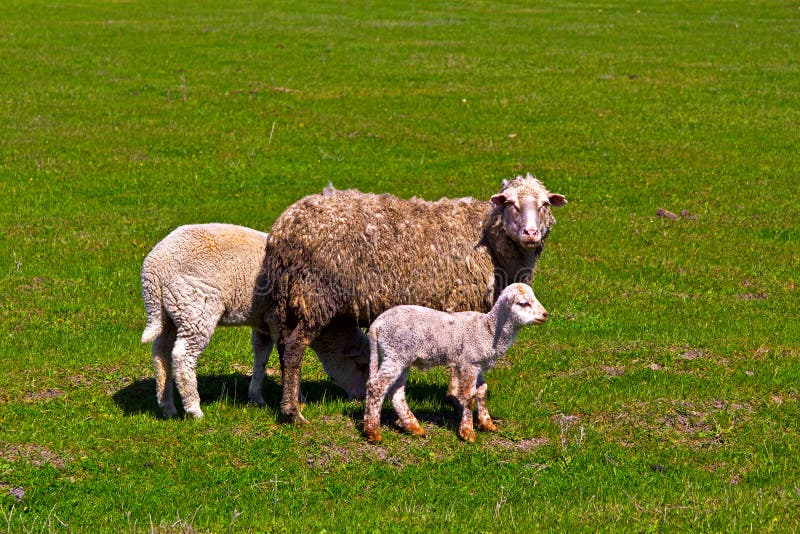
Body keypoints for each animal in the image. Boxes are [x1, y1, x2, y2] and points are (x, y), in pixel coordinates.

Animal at [260, 174, 564, 426]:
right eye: (510, 203)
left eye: (545, 204)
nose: (531, 234)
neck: (487, 239)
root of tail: (284, 227)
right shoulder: (462, 303)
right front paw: (457, 400)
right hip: (315, 294)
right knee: (294, 348)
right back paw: (293, 413)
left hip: (289, 299)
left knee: (283, 345)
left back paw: (291, 400)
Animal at [364, 284, 548, 444]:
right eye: (523, 303)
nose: (545, 314)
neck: (488, 330)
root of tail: (377, 323)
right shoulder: (469, 362)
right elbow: (469, 396)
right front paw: (468, 432)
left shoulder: (478, 364)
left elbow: (482, 391)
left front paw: (487, 424)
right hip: (395, 353)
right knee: (377, 387)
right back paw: (373, 432)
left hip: (400, 356)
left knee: (396, 392)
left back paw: (414, 427)